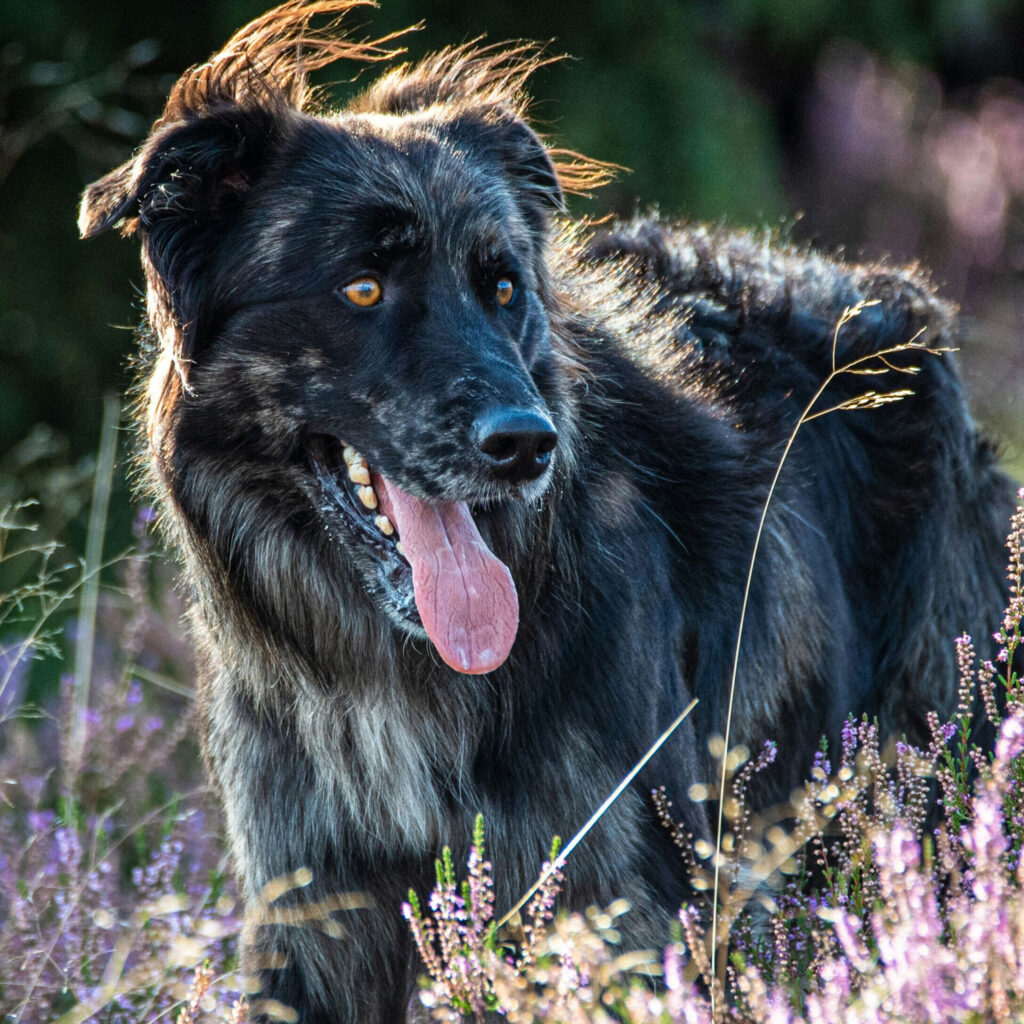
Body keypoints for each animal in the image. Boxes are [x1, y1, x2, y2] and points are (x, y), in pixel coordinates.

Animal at [77, 4, 1015, 1019]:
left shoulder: (626, 909)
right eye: (362, 287)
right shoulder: (314, 924)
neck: (401, 682)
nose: (528, 444)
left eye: (504, 288)